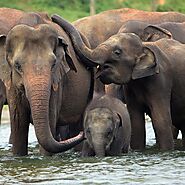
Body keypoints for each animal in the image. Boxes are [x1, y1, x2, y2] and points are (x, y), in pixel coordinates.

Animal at [0, 12, 97, 155]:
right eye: (17, 65)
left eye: (53, 63)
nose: (83, 134)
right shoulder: (11, 83)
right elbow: (18, 123)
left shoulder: (57, 82)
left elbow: (50, 121)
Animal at [51, 14, 185, 150]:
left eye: (117, 52)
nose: (53, 16)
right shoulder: (131, 88)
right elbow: (136, 123)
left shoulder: (161, 82)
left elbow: (161, 122)